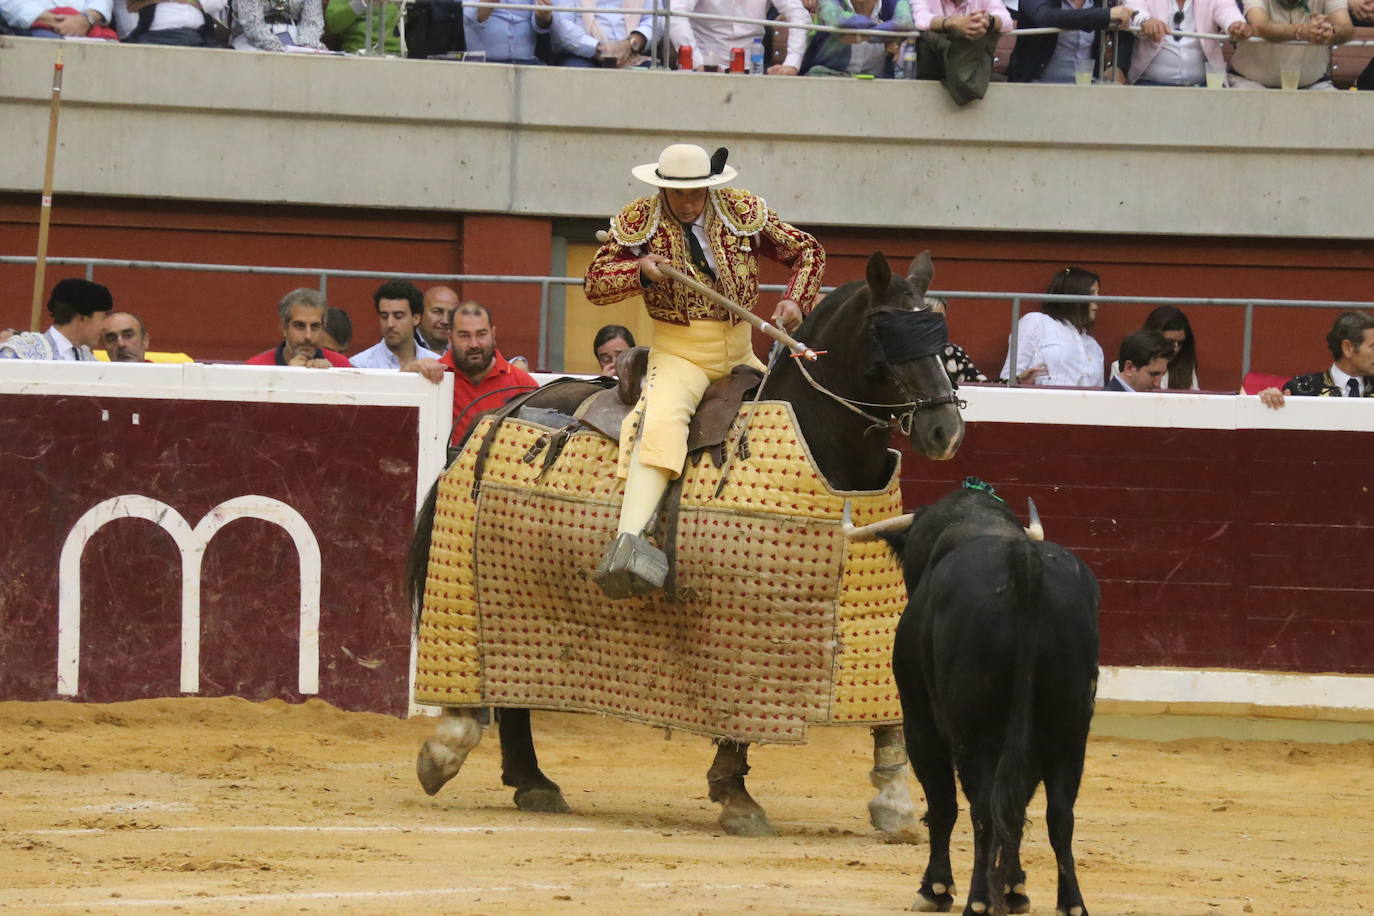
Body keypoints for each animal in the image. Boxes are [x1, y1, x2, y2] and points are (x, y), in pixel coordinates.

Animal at [406, 251, 967, 840]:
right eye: (885, 331)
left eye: (940, 331)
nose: (945, 430)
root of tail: (511, 404)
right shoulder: (741, 626)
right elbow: (736, 713)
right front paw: (736, 796)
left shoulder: (872, 615)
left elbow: (888, 713)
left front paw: (895, 801)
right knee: (491, 682)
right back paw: (455, 754)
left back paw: (530, 780)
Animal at [884, 491, 1099, 911]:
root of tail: (1023, 562)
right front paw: (1015, 889)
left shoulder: (920, 722)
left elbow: (943, 804)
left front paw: (935, 888)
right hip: (1068, 728)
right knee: (1057, 811)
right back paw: (1071, 902)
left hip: (974, 731)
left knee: (983, 808)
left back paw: (978, 900)